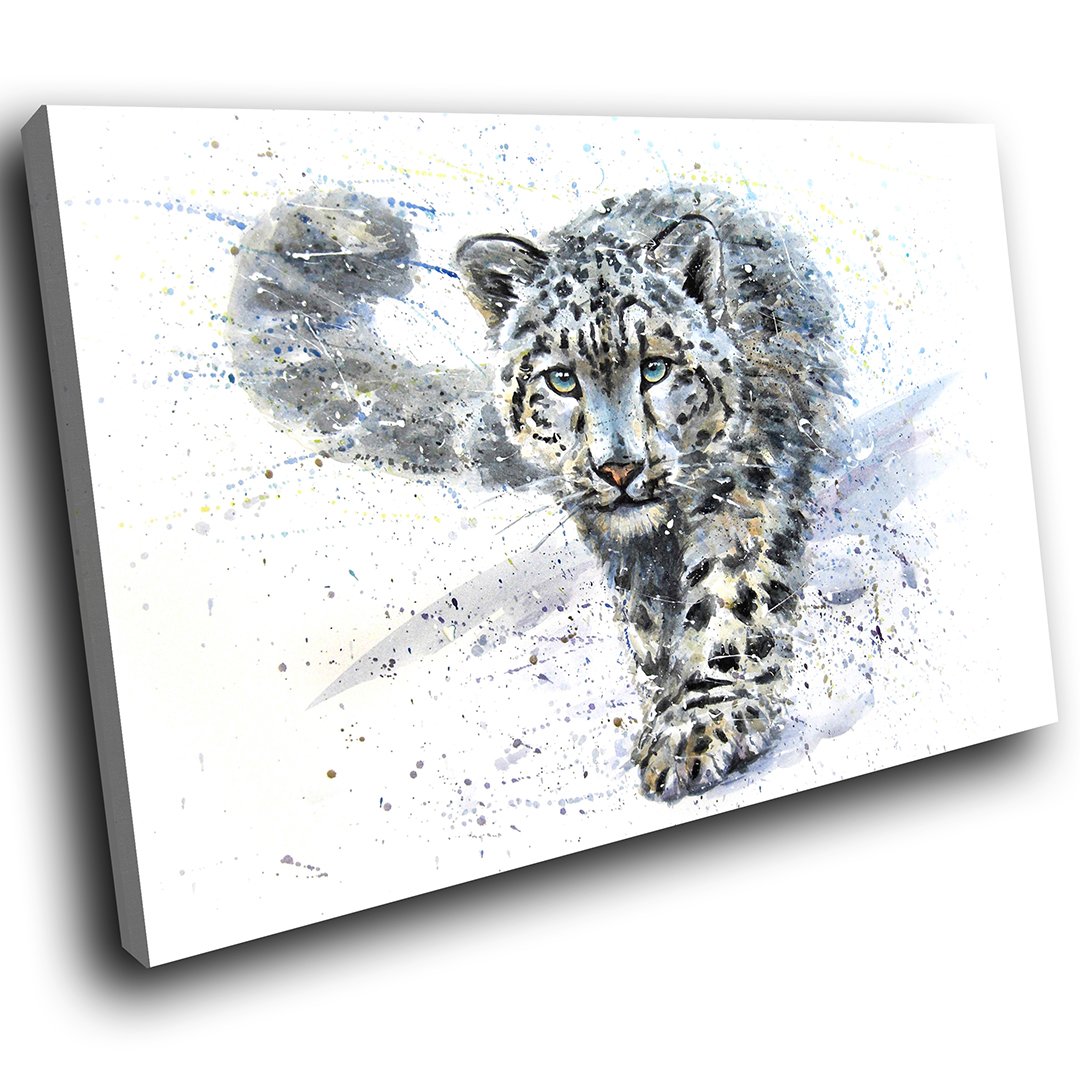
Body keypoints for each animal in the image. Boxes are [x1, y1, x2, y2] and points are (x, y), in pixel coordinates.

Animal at [227, 185, 847, 801]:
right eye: (561, 379)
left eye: (655, 367)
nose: (618, 468)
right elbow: (651, 616)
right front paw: (668, 691)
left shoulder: (741, 487)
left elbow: (731, 596)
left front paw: (700, 720)